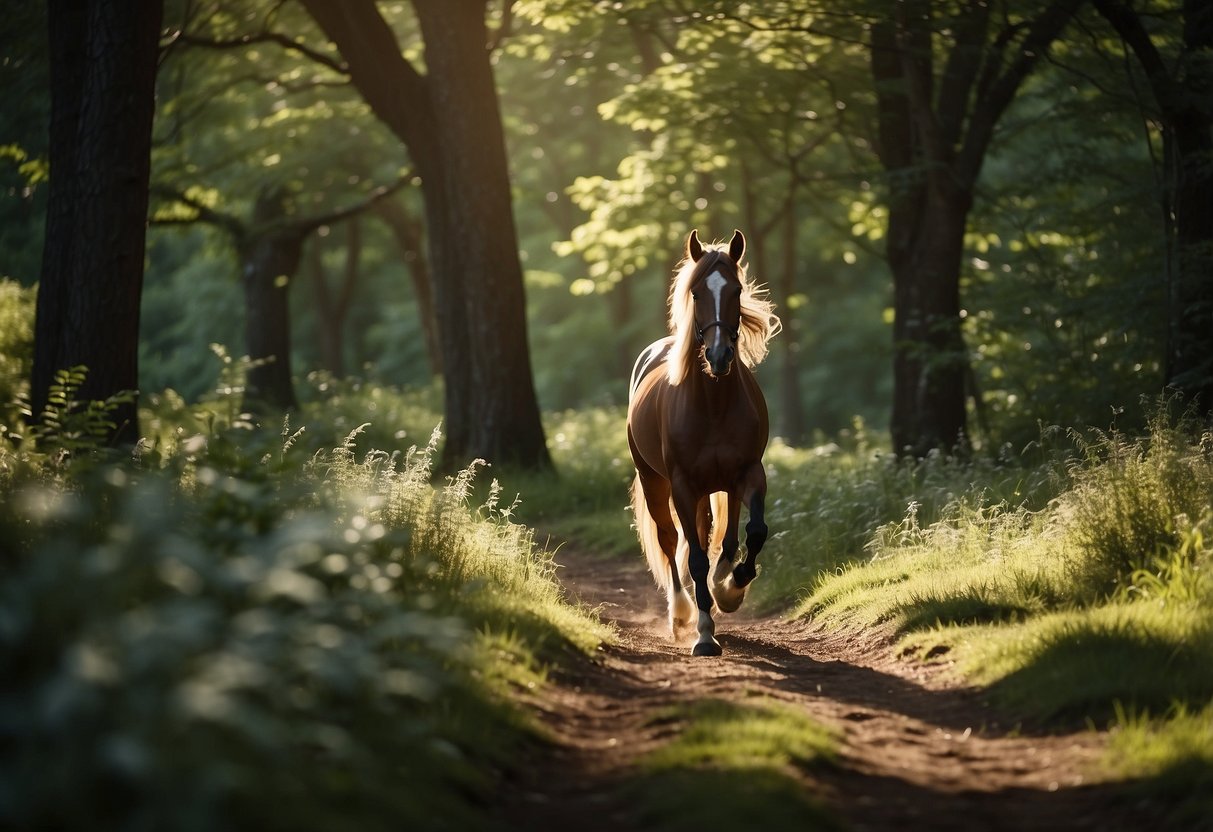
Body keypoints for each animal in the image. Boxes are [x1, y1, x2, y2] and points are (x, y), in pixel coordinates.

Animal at [630, 228, 781, 659]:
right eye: (696, 293)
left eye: (737, 289)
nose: (718, 355)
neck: (713, 404)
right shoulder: (682, 485)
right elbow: (695, 558)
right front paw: (704, 634)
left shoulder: (748, 474)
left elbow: (753, 533)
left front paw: (730, 589)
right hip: (655, 482)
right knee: (669, 541)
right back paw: (681, 613)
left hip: (716, 488)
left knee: (718, 535)